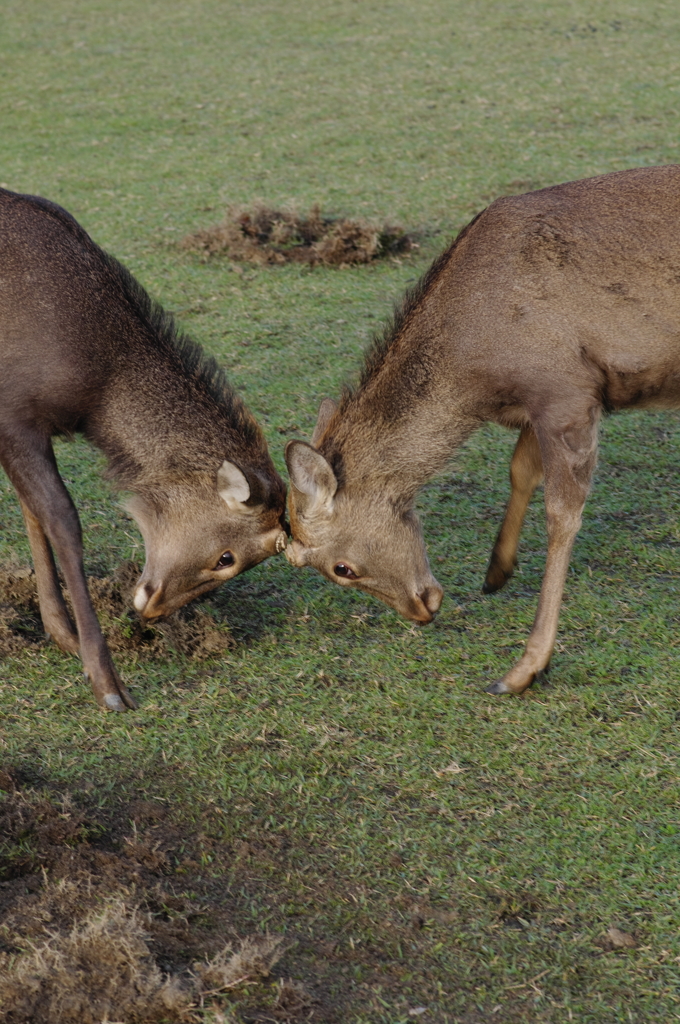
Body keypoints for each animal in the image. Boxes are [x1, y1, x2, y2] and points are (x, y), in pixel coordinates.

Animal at [0, 186, 286, 712]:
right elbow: (62, 522)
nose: (150, 609)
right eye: (227, 558)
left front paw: (61, 633)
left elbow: (32, 513)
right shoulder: (13, 414)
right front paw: (106, 682)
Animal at [284, 165, 680, 696]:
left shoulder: (567, 392)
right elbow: (520, 470)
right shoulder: (539, 402)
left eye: (341, 569)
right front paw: (497, 570)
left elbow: (562, 515)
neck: (478, 377)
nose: (422, 611)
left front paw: (524, 669)